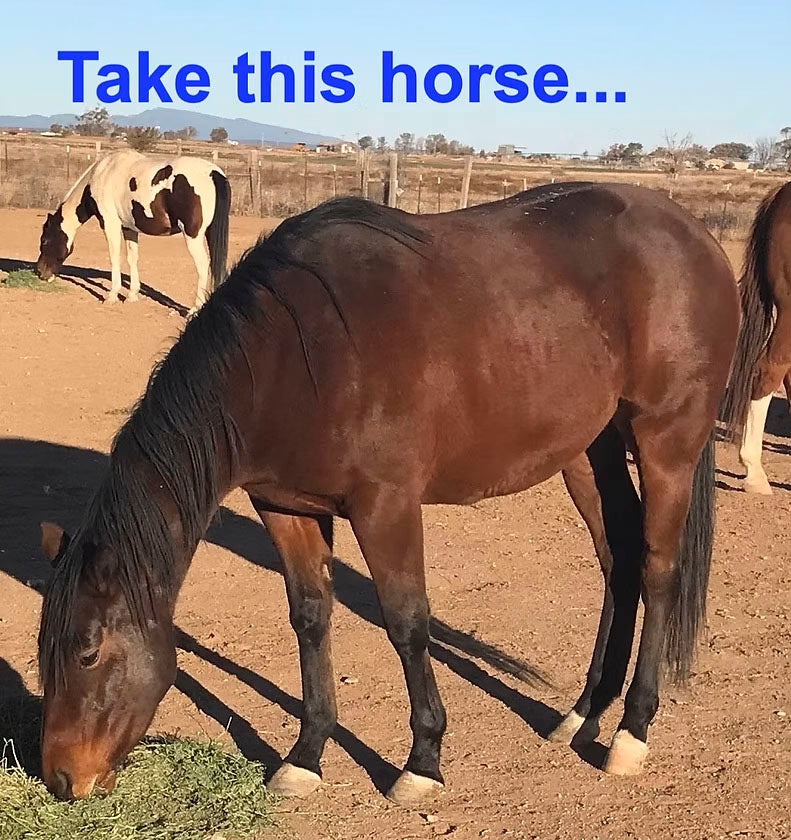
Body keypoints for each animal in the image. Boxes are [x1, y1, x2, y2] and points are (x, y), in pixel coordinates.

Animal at [35, 149, 231, 313]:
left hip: (193, 236)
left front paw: (112, 296)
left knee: (203, 265)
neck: (101, 176)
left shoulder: (110, 224)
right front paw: (131, 296)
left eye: (44, 240)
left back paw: (194, 309)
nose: (40, 273)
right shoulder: (128, 228)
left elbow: (114, 257)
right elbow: (132, 258)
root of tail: (213, 173)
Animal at [37, 183, 740, 806]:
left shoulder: (386, 507)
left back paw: (630, 732)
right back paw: (585, 713)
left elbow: (406, 623)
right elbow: (310, 618)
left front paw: (422, 763)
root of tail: (695, 235)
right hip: (589, 454)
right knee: (618, 563)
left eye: (89, 652)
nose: (62, 781)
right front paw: (306, 756)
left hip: (666, 442)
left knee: (657, 569)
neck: (291, 354)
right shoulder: (285, 507)